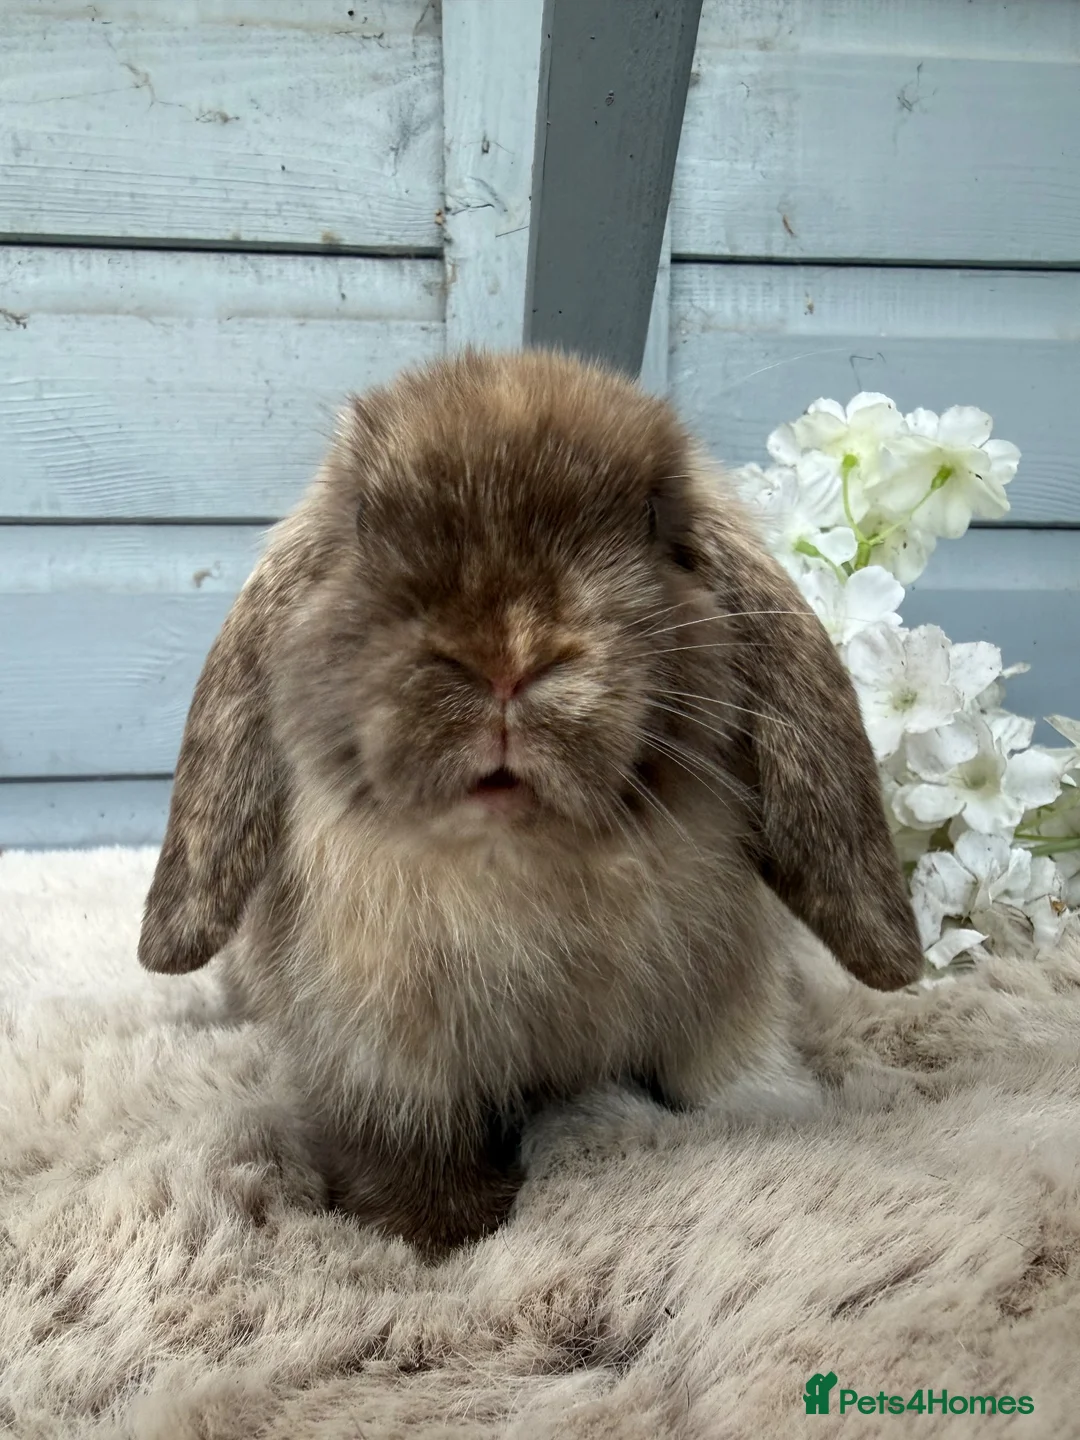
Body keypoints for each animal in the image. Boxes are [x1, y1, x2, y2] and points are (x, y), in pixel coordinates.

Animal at [137, 348, 923, 1253]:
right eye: (365, 518)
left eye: (654, 517)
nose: (507, 656)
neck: (521, 862)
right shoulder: (382, 1050)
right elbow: (405, 1142)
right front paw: (430, 1232)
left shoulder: (729, 993)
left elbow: (735, 1077)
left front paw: (774, 1126)